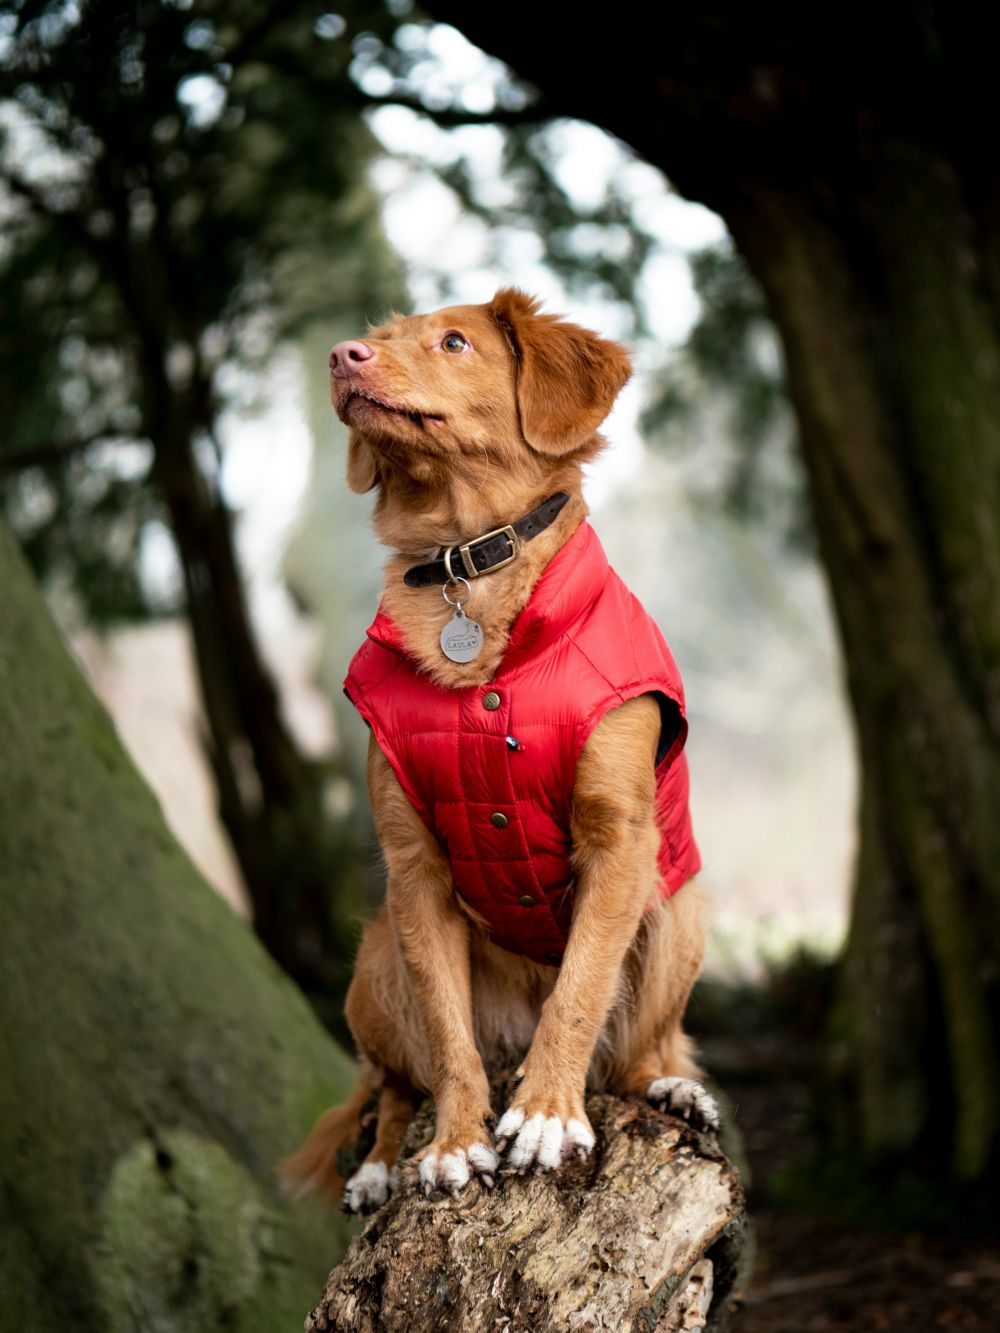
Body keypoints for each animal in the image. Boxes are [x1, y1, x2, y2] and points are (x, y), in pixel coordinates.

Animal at [285, 291, 714, 1221]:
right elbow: (449, 1041)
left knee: (633, 1057)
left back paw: (668, 1087)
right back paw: (382, 1166)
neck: (467, 561)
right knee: (393, 1082)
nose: (342, 355)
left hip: (678, 904)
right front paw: (456, 1142)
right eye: (381, 335)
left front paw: (547, 1115)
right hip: (378, 958)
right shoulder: (415, 868)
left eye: (454, 342)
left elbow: (579, 989)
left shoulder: (622, 842)